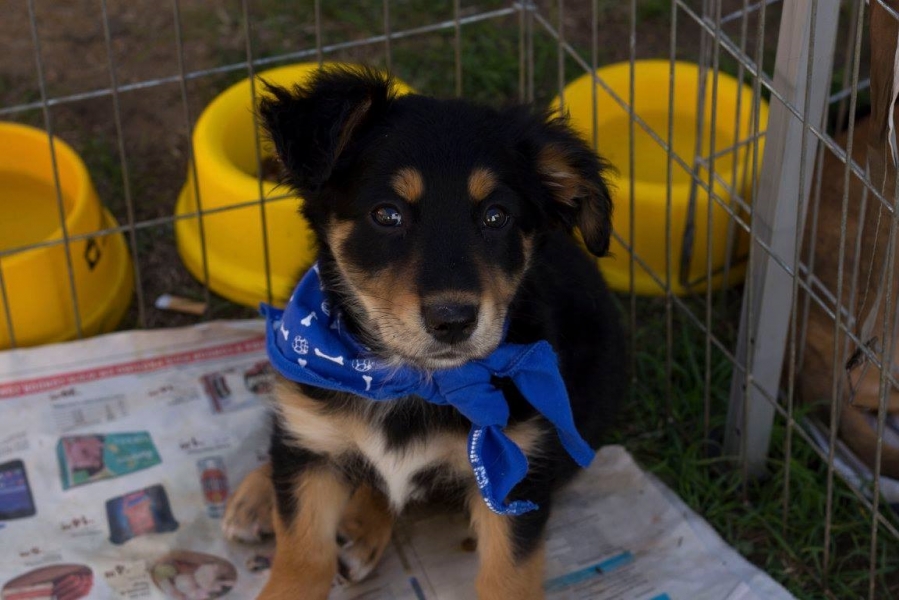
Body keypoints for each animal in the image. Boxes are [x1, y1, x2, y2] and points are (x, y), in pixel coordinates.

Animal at [221, 68, 624, 596]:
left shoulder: (516, 474)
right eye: (387, 214)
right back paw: (257, 496)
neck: (407, 378)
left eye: (496, 216)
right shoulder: (311, 454)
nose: (453, 320)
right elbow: (302, 562)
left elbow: (508, 578)